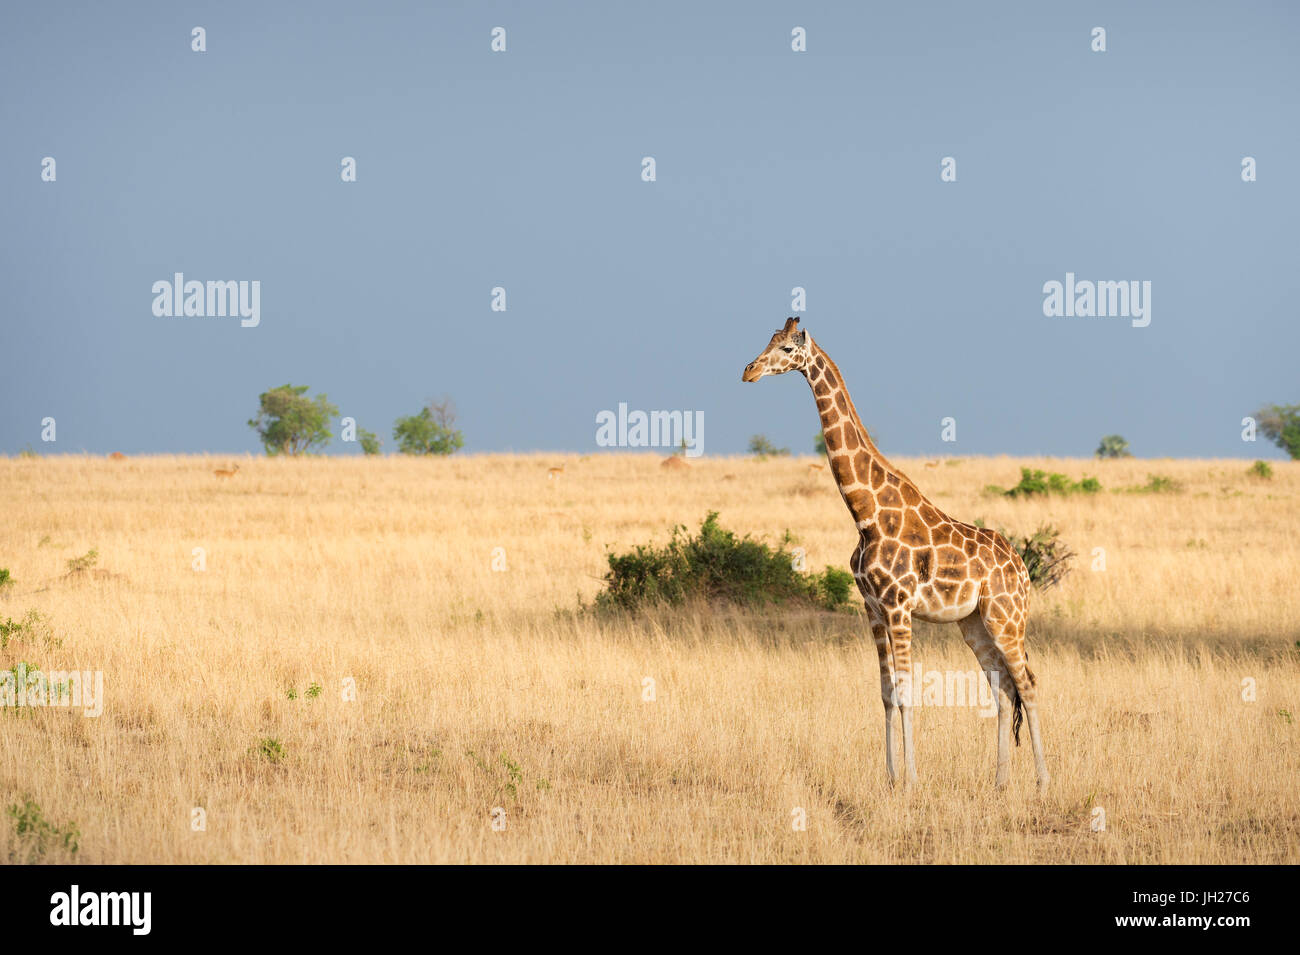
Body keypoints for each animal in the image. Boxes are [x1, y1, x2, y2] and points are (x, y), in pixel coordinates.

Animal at [743, 317, 1045, 789]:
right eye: (769, 340)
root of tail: (1023, 569)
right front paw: (890, 777)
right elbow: (886, 693)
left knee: (1028, 684)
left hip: (1007, 617)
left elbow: (907, 692)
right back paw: (1000, 782)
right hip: (974, 623)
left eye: (789, 347)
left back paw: (1043, 782)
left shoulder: (900, 607)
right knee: (1001, 688)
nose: (749, 371)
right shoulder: (872, 607)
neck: (864, 514)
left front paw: (912, 782)